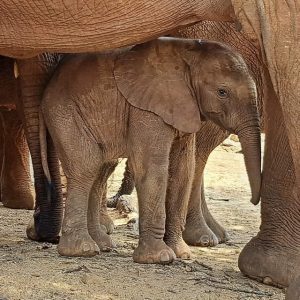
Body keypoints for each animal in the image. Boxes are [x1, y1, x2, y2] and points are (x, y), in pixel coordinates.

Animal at [39, 37, 260, 262]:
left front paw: (181, 253)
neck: (188, 54)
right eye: (222, 92)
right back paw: (82, 250)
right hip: (65, 113)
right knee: (87, 166)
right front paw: (160, 258)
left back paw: (103, 245)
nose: (253, 201)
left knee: (102, 170)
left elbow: (182, 172)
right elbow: (153, 168)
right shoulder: (146, 110)